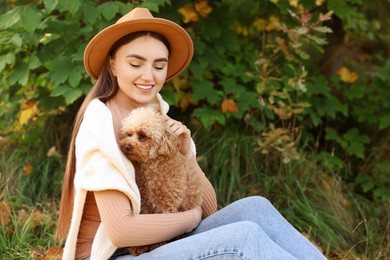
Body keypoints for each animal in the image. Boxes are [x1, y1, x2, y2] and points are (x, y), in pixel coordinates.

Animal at [118, 106, 204, 256]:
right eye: (129, 134)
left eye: (142, 135)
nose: (127, 146)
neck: (154, 167)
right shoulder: (145, 202)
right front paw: (138, 247)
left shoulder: (166, 203)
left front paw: (155, 245)